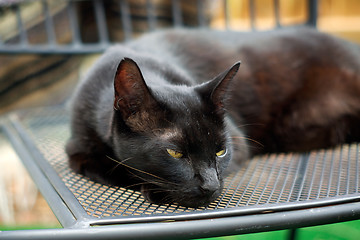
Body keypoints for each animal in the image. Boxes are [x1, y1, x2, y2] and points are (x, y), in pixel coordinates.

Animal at [65, 25, 360, 206]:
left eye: (220, 151)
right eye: (175, 153)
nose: (211, 186)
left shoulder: (239, 143)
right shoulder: (77, 153)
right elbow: (112, 170)